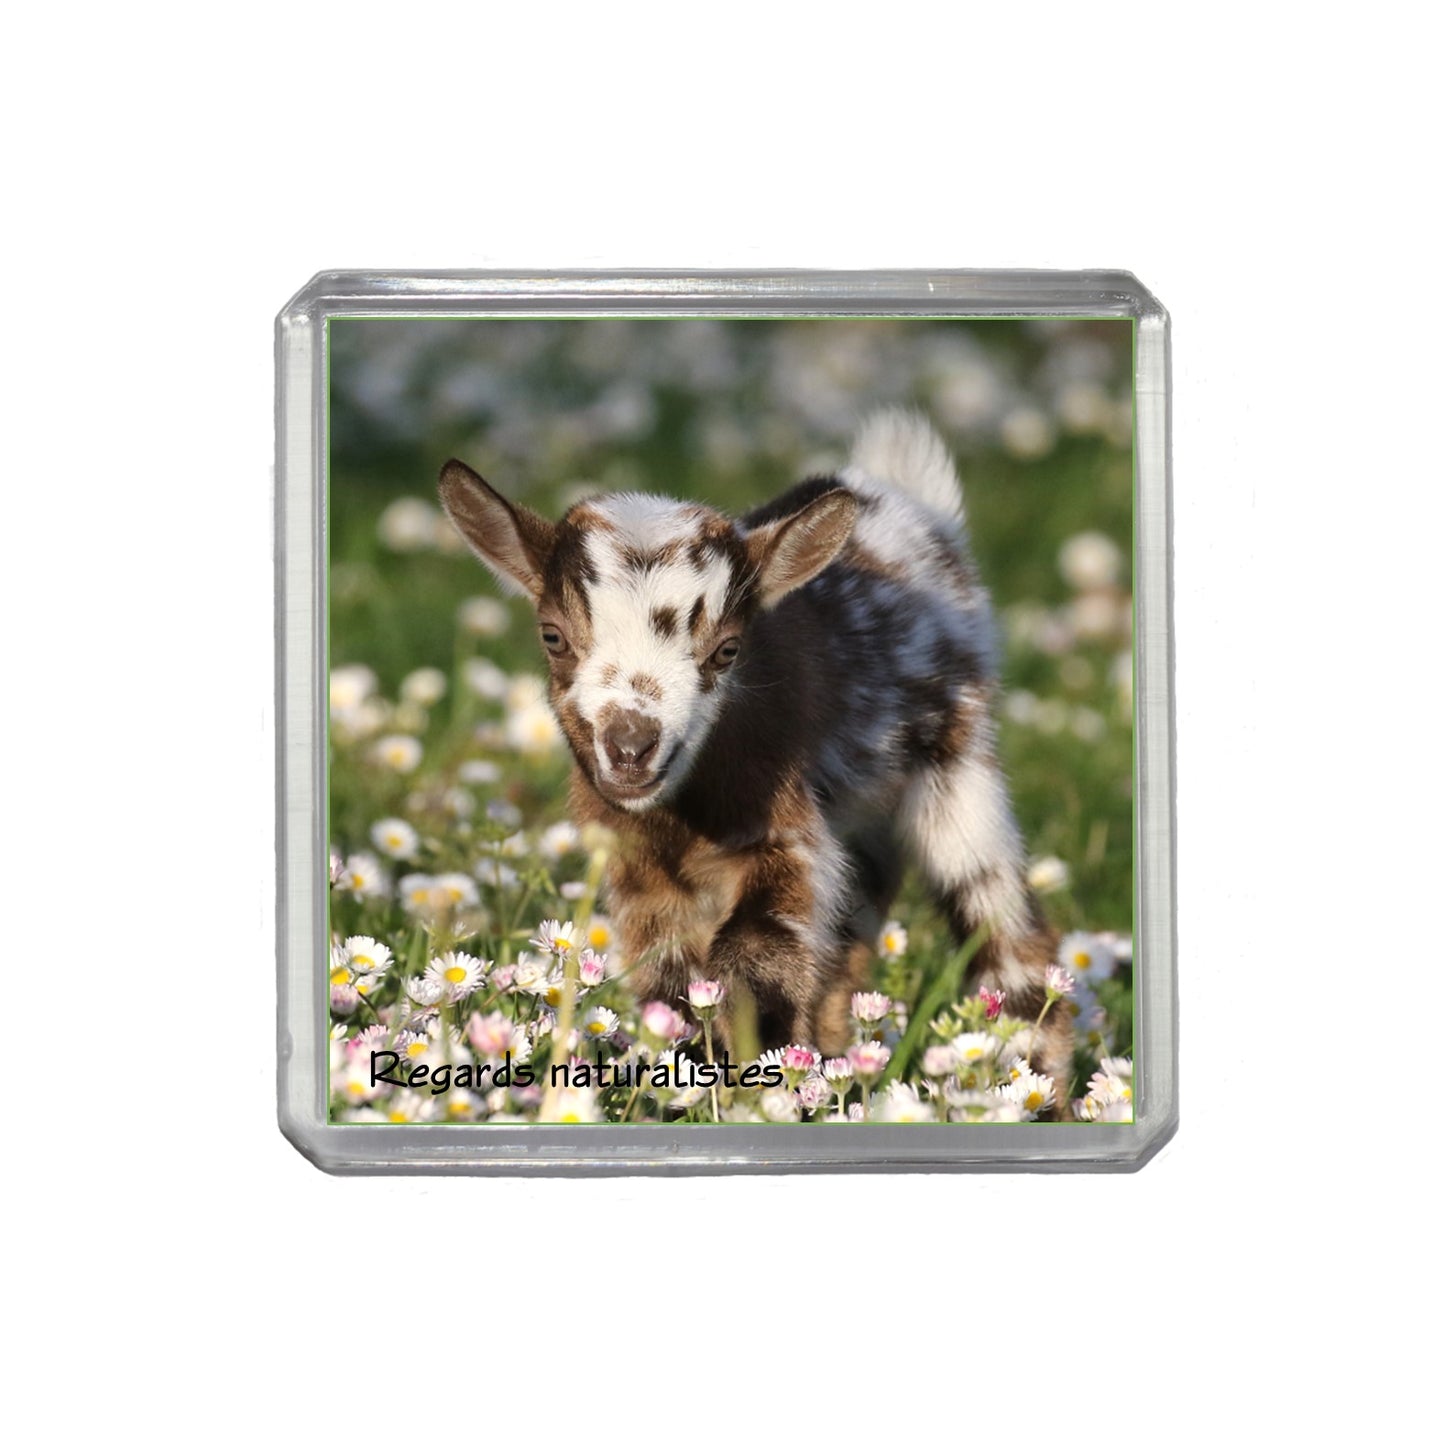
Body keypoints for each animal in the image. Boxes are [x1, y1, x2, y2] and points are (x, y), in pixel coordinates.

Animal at [439, 410, 1069, 1087]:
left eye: (727, 650)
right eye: (553, 636)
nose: (631, 746)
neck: (684, 818)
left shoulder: (788, 838)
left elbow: (756, 951)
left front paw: (755, 1067)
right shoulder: (635, 870)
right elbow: (669, 980)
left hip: (958, 762)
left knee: (1003, 925)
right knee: (847, 950)